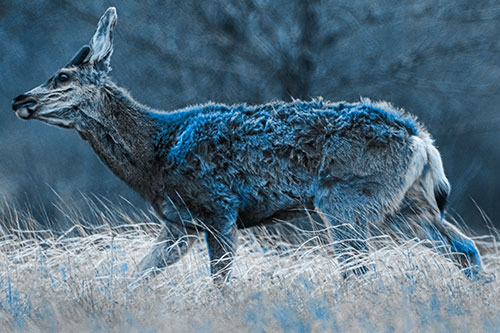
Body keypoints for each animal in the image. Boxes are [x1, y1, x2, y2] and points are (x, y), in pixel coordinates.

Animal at [10, 7, 480, 282]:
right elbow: (138, 276)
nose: (19, 100)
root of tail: (421, 140)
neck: (155, 154)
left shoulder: (217, 209)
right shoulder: (178, 224)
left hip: (347, 200)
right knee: (465, 249)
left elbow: (220, 283)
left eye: (63, 77)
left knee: (361, 270)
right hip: (407, 204)